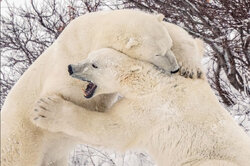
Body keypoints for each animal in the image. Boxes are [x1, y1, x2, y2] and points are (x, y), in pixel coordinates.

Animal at [0, 9, 202, 166]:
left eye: (169, 46)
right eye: (157, 53)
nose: (175, 69)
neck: (92, 33)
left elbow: (177, 31)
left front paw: (191, 67)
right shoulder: (68, 59)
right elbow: (69, 93)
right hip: (21, 141)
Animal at [32, 48, 250, 166]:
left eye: (94, 65)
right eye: (87, 56)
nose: (70, 67)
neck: (147, 82)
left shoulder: (152, 108)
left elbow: (113, 129)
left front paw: (45, 109)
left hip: (207, 159)